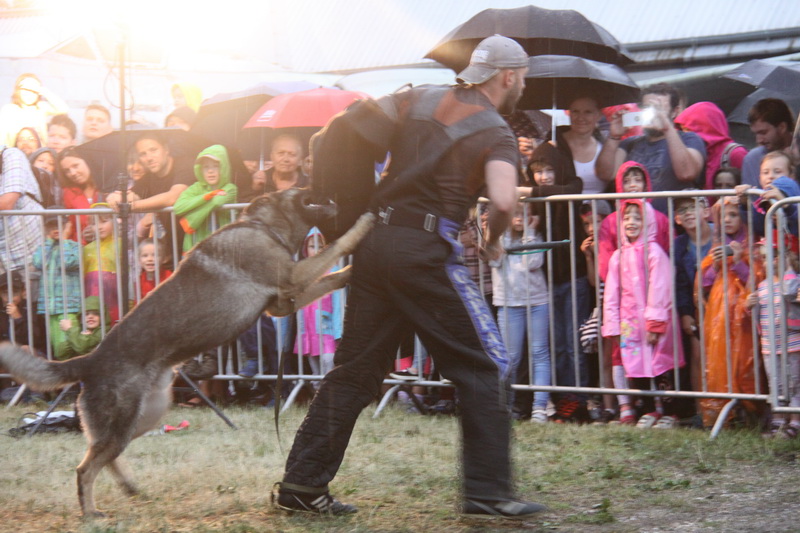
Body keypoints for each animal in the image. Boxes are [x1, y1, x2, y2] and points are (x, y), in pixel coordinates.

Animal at [0, 188, 376, 516]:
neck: (264, 227)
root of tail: (89, 361)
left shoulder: (285, 302)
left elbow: (331, 275)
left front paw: (352, 271)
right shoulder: (293, 279)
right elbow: (335, 247)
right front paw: (365, 225)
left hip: (144, 417)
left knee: (102, 456)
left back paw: (129, 488)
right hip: (125, 421)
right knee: (85, 468)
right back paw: (91, 512)